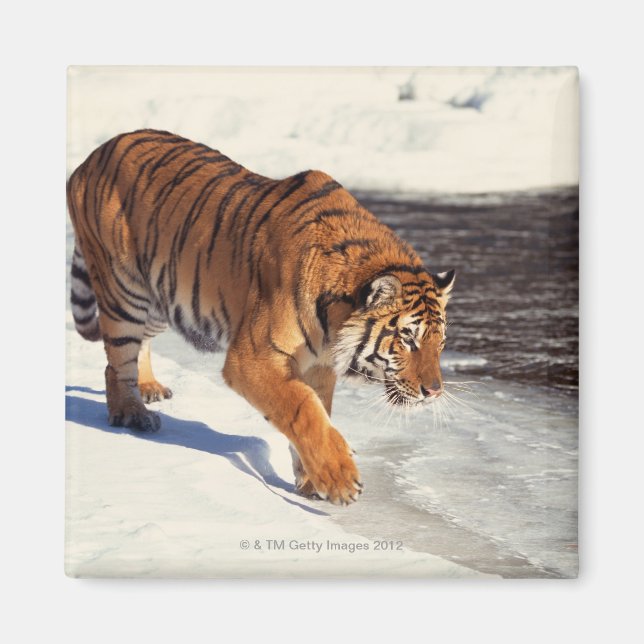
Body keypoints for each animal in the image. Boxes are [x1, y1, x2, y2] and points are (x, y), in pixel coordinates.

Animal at [67, 129, 455, 505]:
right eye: (408, 338)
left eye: (440, 343)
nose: (434, 392)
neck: (333, 323)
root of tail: (91, 157)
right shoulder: (251, 358)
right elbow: (303, 408)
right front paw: (339, 479)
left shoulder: (318, 365)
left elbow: (319, 411)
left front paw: (311, 482)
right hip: (124, 291)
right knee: (116, 362)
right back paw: (131, 413)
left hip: (162, 293)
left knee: (141, 344)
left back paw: (148, 388)